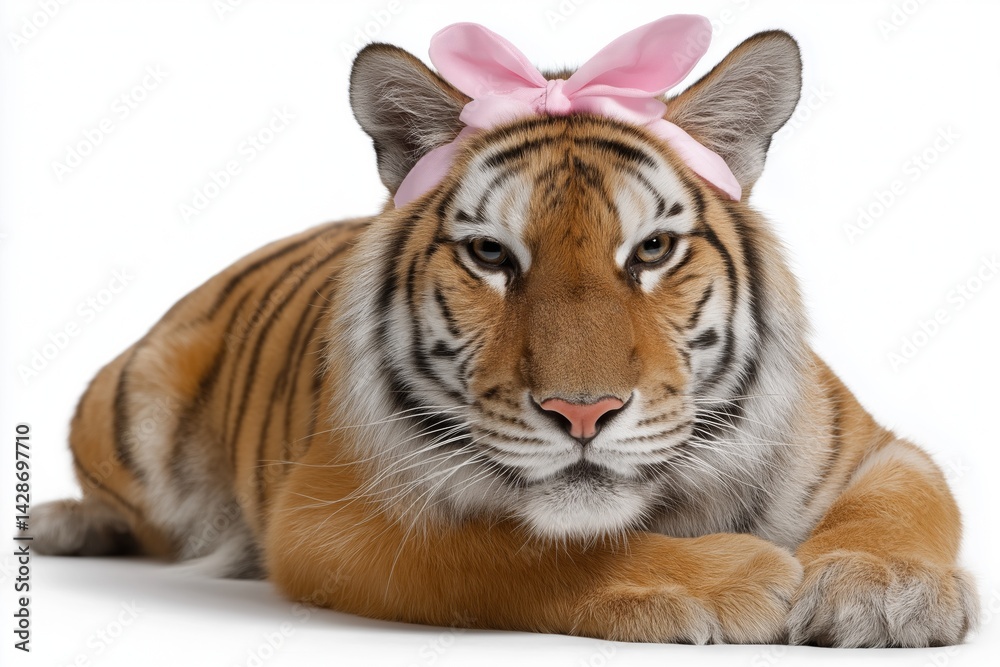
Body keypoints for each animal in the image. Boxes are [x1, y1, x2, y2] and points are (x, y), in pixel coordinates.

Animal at [30, 21, 978, 648]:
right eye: (491, 254)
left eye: (652, 250)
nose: (583, 412)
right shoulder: (339, 512)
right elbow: (519, 554)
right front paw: (743, 576)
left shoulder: (874, 446)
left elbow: (900, 504)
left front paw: (884, 591)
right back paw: (63, 522)